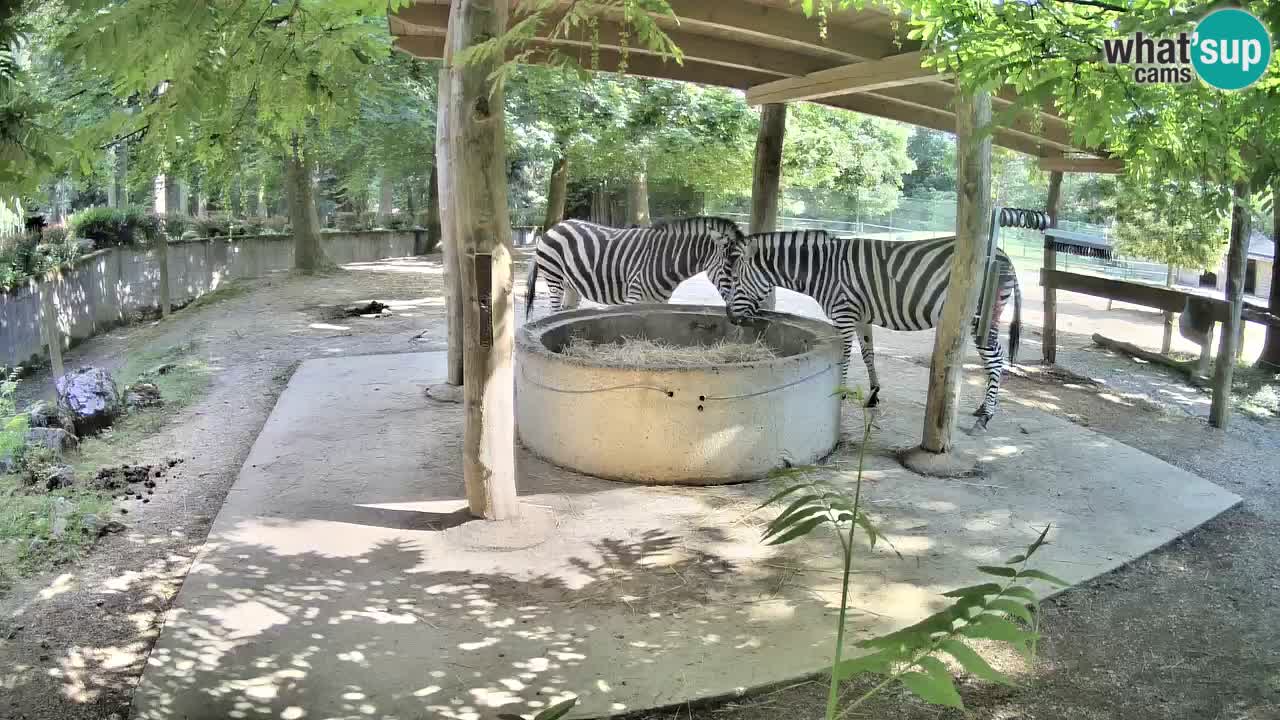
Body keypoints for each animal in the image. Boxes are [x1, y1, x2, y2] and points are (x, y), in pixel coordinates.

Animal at [524, 216, 746, 318]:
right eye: (730, 269)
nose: (735, 314)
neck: (665, 259)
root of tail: (556, 226)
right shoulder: (634, 297)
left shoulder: (661, 302)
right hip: (554, 277)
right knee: (553, 309)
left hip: (572, 285)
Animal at [725, 230, 1022, 429]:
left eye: (736, 281)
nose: (729, 318)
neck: (822, 271)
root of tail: (1004, 254)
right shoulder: (860, 317)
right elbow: (869, 354)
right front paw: (873, 394)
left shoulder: (844, 314)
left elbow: (846, 356)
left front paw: (841, 394)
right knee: (993, 360)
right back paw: (983, 407)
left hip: (978, 317)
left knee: (996, 358)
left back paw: (987, 415)